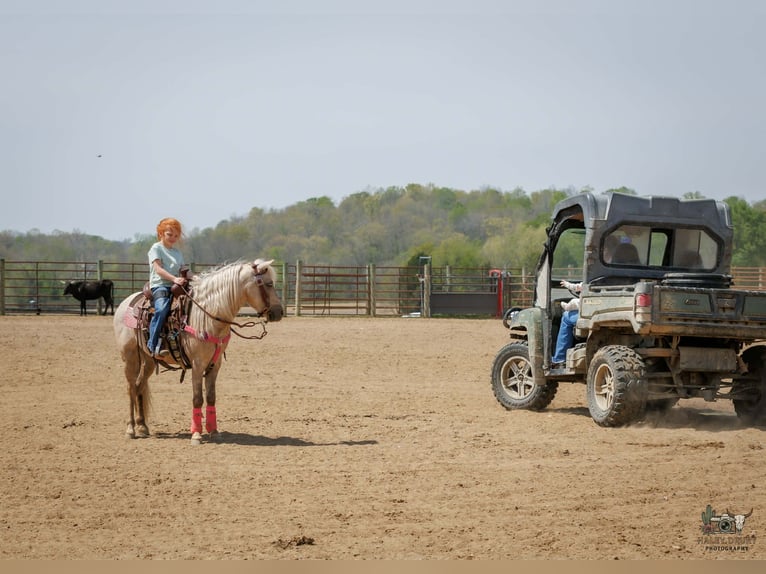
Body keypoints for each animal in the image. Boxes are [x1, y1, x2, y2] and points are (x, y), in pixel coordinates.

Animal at [113, 258, 283, 444]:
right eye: (269, 284)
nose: (279, 312)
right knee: (131, 388)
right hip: (130, 358)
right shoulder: (197, 364)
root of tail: (127, 303)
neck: (208, 316)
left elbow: (211, 397)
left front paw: (214, 431)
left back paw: (142, 426)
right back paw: (130, 429)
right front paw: (196, 434)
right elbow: (197, 398)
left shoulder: (215, 364)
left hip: (148, 360)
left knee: (139, 385)